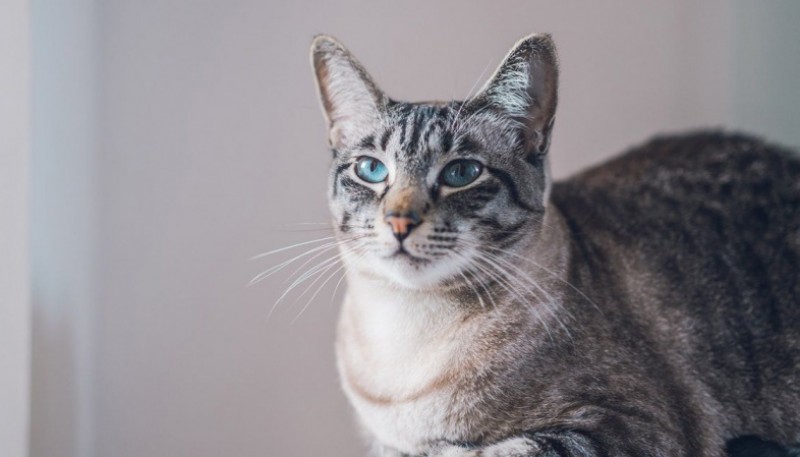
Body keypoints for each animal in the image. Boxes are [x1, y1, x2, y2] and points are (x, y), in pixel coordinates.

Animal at [308, 33, 800, 456]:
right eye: (371, 170)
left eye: (461, 173)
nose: (399, 221)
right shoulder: (383, 444)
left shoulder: (628, 429)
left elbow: (491, 452)